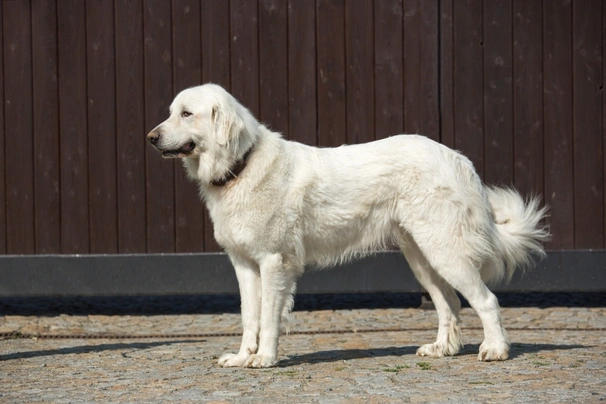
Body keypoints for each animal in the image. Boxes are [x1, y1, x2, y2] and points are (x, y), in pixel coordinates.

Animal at [148, 83, 552, 368]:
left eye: (186, 113)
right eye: (171, 113)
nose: (151, 138)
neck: (241, 165)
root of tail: (458, 158)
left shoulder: (274, 262)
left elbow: (268, 318)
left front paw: (264, 358)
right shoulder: (245, 265)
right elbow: (250, 317)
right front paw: (242, 356)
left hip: (445, 252)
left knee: (486, 300)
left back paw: (495, 349)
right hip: (422, 258)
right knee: (449, 304)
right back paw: (442, 349)